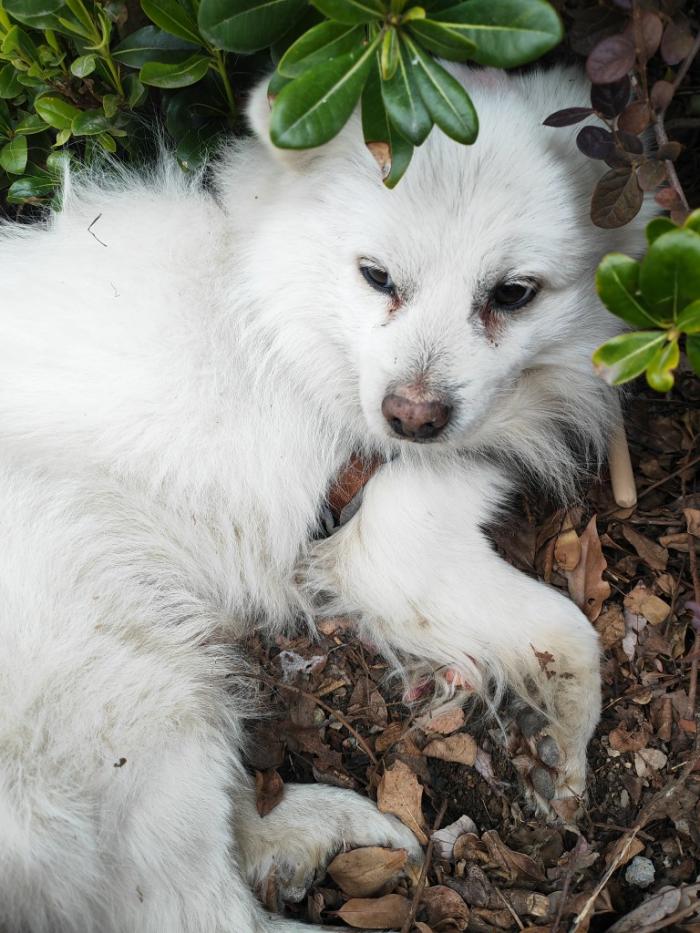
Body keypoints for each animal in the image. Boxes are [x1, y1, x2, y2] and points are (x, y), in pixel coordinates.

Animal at [0, 65, 648, 932]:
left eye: (513, 293)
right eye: (377, 278)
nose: (412, 418)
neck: (275, 315)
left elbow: (561, 635)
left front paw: (546, 744)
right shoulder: (398, 550)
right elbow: (575, 630)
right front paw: (567, 753)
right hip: (131, 659)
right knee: (202, 910)